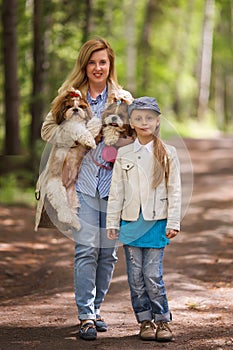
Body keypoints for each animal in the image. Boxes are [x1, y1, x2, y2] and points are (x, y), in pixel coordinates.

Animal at [41, 87, 101, 230]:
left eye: (81, 106)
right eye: (68, 106)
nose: (75, 109)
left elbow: (92, 124)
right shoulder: (69, 127)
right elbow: (78, 129)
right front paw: (90, 140)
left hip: (73, 196)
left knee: (72, 210)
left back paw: (76, 223)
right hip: (56, 189)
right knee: (62, 208)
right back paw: (66, 217)